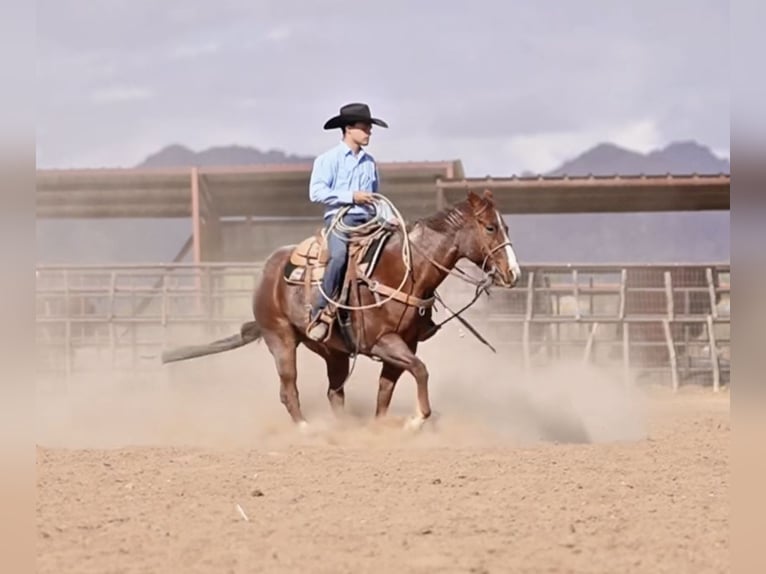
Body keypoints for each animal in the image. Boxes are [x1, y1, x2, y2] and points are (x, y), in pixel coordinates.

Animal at [161, 189, 521, 431]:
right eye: (489, 227)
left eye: (506, 227)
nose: (513, 274)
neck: (402, 272)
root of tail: (267, 269)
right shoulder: (383, 342)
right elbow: (421, 371)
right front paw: (416, 420)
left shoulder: (405, 344)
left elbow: (386, 391)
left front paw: (382, 427)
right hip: (280, 338)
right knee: (289, 388)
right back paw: (307, 430)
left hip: (331, 350)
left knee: (334, 392)